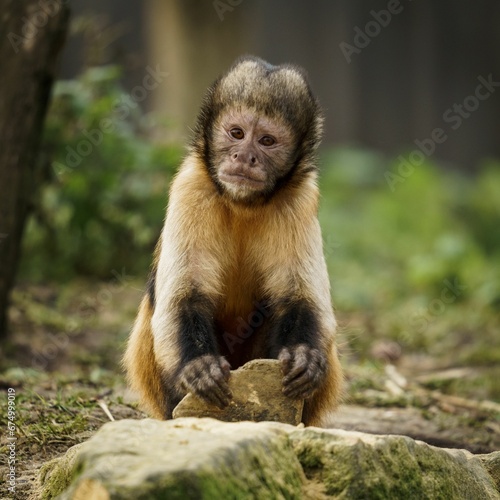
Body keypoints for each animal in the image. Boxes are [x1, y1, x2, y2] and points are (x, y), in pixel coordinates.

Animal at [125, 55, 344, 426]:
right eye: (237, 134)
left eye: (267, 141)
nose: (244, 157)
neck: (243, 204)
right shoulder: (191, 187)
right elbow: (185, 296)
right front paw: (199, 367)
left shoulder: (300, 197)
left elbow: (300, 297)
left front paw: (304, 357)